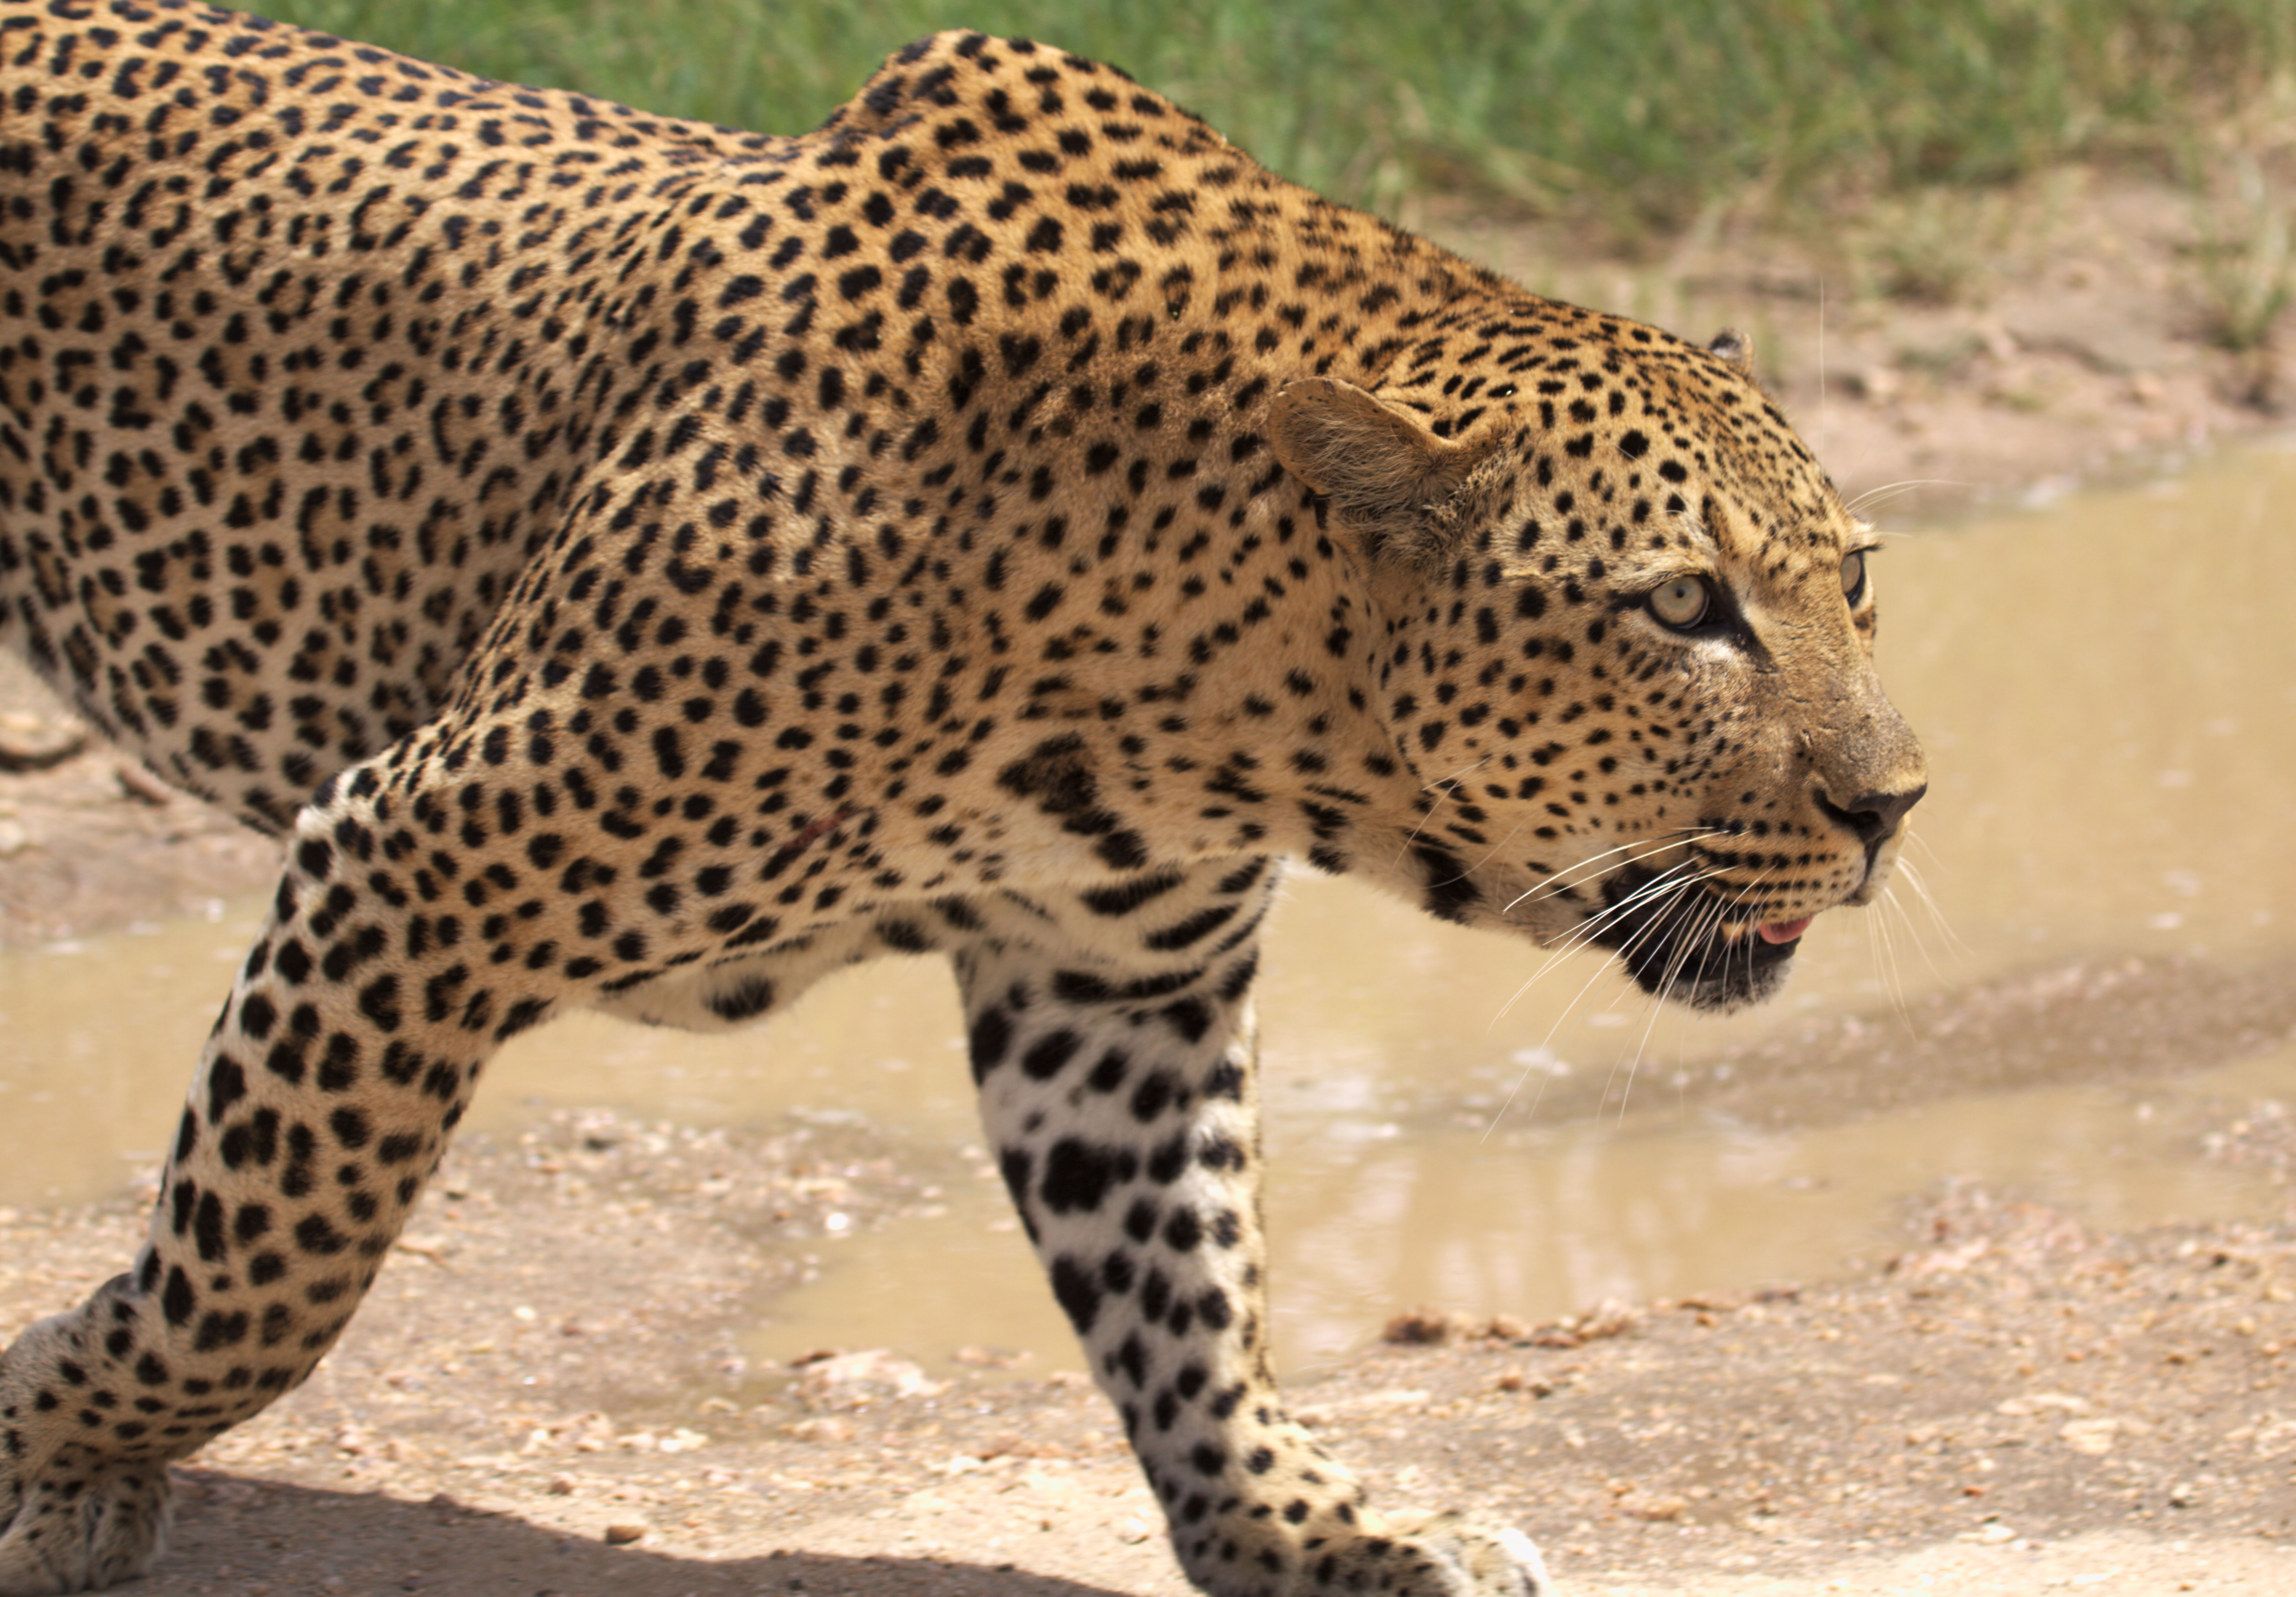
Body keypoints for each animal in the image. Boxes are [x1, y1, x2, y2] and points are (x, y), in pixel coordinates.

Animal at [0, 3, 1927, 1593]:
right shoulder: (416, 857)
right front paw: (52, 1437)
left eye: (1853, 575)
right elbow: (267, 1267)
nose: (1896, 804)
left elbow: (1187, 1296)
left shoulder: (1118, 986)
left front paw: (1321, 1535)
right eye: (1682, 606)